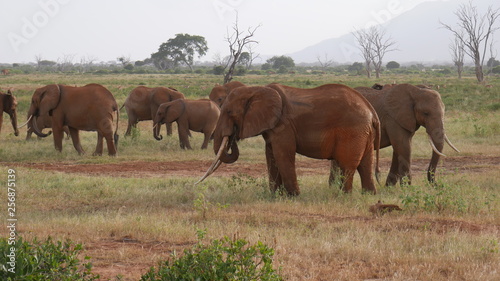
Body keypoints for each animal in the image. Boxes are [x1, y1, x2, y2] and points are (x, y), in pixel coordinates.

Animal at [197, 83, 380, 195]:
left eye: (229, 112)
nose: (233, 135)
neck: (256, 90)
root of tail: (371, 110)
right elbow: (271, 156)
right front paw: (274, 196)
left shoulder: (283, 125)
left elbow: (283, 155)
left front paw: (293, 196)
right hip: (364, 132)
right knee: (365, 163)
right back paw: (368, 195)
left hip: (353, 130)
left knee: (347, 164)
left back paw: (343, 195)